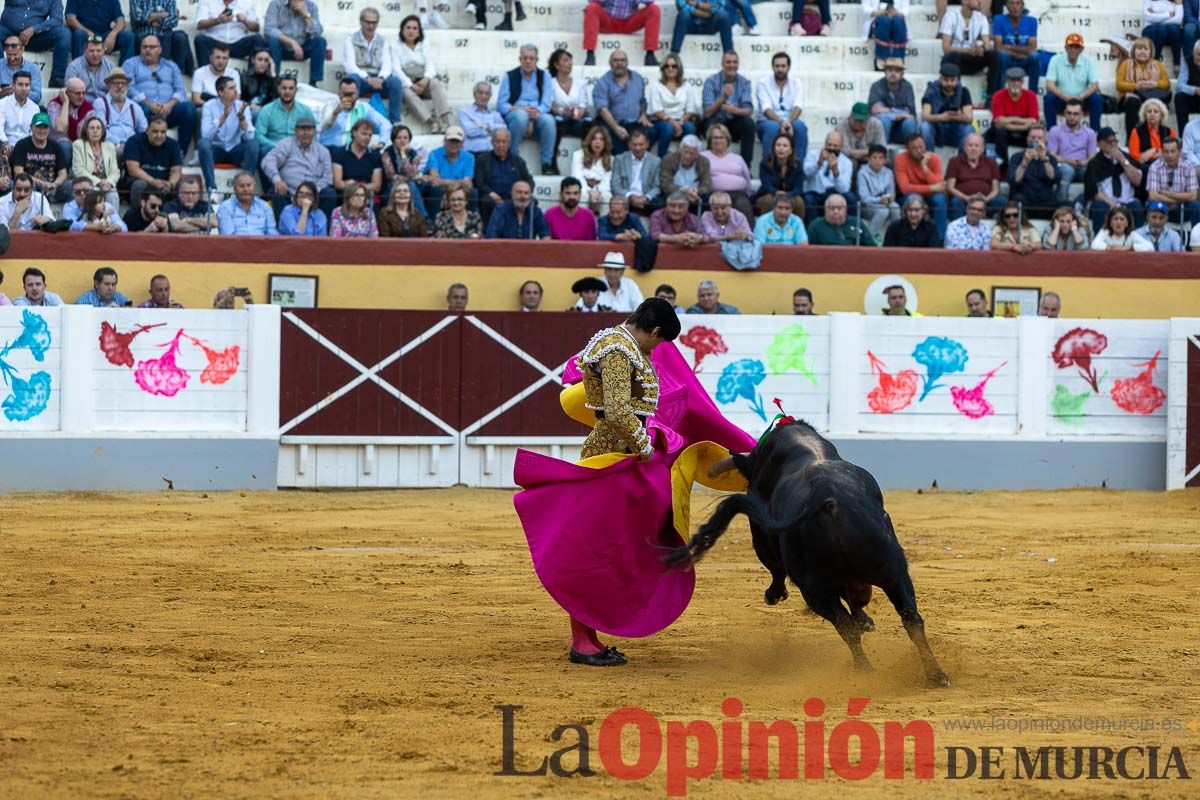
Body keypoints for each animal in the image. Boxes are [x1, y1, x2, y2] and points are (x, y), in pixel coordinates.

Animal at [667, 419, 945, 690]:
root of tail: (828, 500)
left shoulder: (762, 535)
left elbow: (776, 569)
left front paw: (774, 595)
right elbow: (857, 603)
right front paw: (866, 620)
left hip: (815, 588)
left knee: (846, 626)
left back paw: (865, 670)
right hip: (893, 572)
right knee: (911, 618)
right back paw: (935, 674)